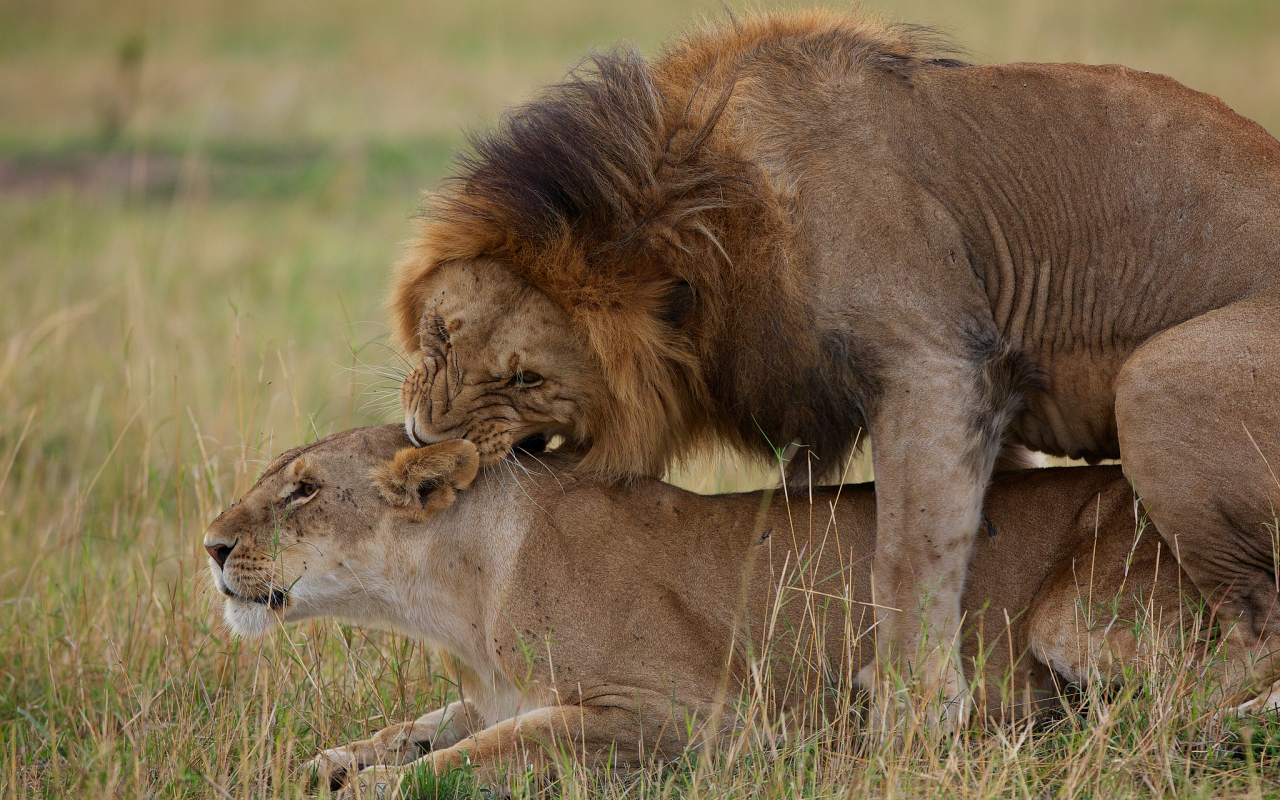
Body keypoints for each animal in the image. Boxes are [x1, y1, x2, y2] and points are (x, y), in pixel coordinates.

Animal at [202, 424, 1269, 793]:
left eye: (302, 490)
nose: (209, 547)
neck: (454, 597)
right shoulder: (489, 692)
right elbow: (423, 726)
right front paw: (329, 761)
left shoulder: (685, 715)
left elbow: (481, 755)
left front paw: (373, 788)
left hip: (1079, 611)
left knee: (1225, 681)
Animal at [394, 9, 1280, 716]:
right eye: (438, 335)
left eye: (527, 379)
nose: (422, 440)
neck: (717, 209)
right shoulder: (878, 408)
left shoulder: (941, 364)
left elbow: (908, 555)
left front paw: (915, 716)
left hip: (1156, 381)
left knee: (1258, 619)